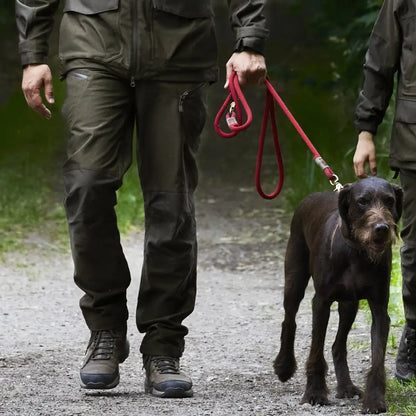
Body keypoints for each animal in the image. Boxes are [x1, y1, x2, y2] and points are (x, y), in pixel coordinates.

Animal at [274, 177, 402, 414]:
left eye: (390, 201)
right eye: (362, 201)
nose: (382, 228)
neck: (356, 253)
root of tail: (310, 197)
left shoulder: (380, 309)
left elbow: (377, 358)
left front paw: (374, 400)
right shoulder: (321, 302)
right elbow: (316, 351)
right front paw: (314, 393)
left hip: (349, 304)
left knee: (338, 345)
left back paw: (346, 386)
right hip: (295, 279)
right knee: (289, 320)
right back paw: (284, 366)